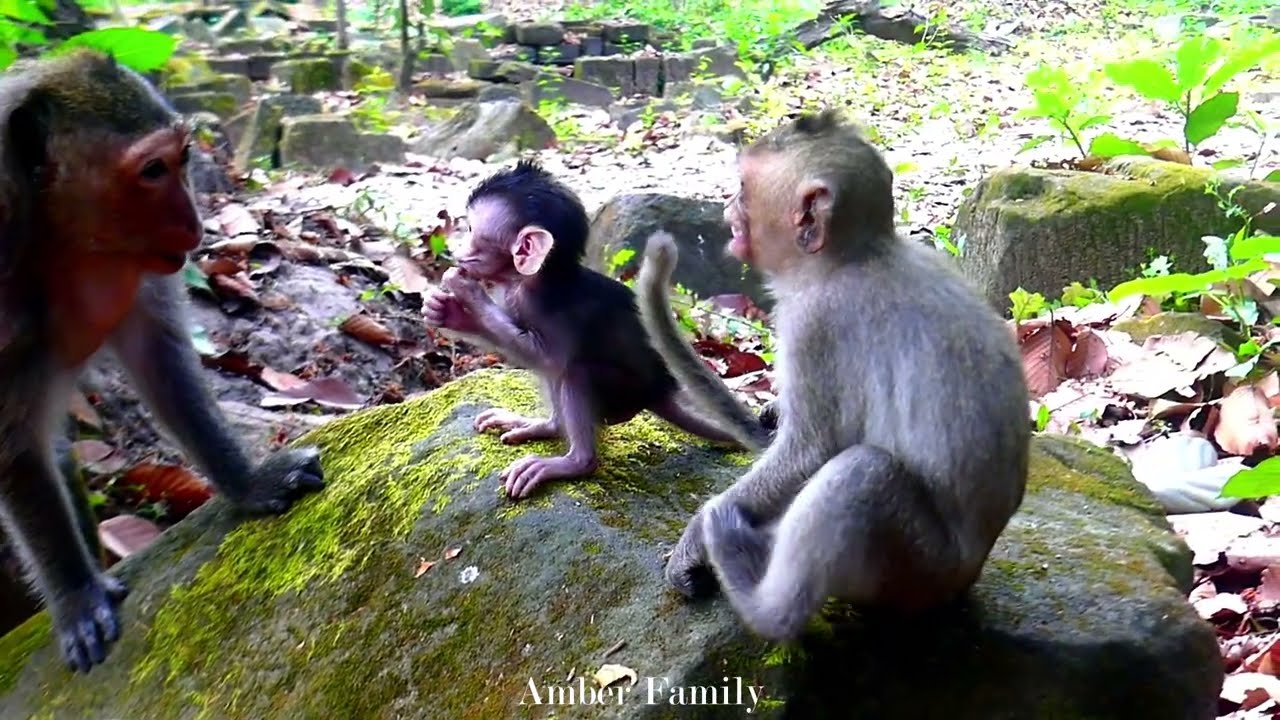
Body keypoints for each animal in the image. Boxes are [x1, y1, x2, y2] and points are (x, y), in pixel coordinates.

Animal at [0, 50, 326, 673]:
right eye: (152, 171)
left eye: (183, 158)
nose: (195, 224)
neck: (61, 238)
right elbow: (11, 444)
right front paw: (76, 594)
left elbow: (161, 361)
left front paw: (249, 482)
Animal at [423, 160, 772, 501]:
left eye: (470, 230)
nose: (457, 251)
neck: (538, 277)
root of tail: (659, 391)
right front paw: (448, 312)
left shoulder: (547, 306)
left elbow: (549, 357)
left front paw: (466, 291)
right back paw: (548, 426)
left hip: (624, 394)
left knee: (574, 370)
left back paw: (575, 462)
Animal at [636, 109, 1031, 642]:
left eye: (742, 187)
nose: (726, 210)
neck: (858, 253)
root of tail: (967, 578)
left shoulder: (813, 325)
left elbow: (810, 452)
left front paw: (694, 538)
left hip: (918, 569)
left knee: (862, 475)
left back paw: (759, 595)